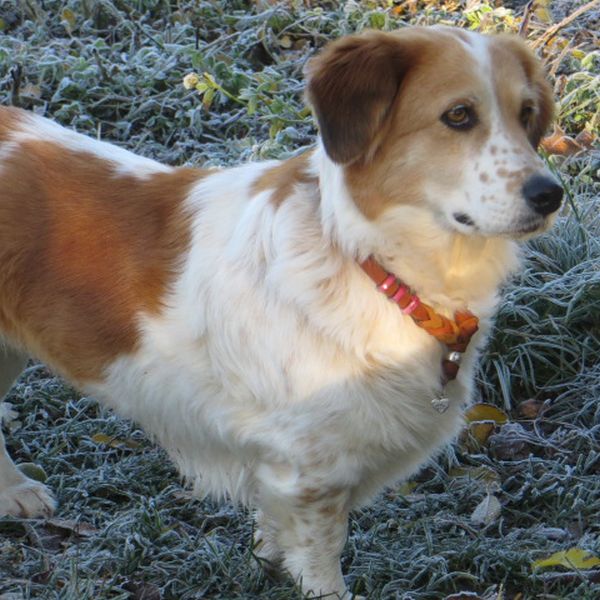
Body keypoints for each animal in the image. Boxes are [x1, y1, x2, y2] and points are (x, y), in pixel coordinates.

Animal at [0, 26, 562, 598]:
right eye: (459, 115)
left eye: (526, 113)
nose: (551, 195)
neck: (363, 256)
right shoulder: (313, 470)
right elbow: (320, 553)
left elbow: (275, 528)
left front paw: (266, 561)